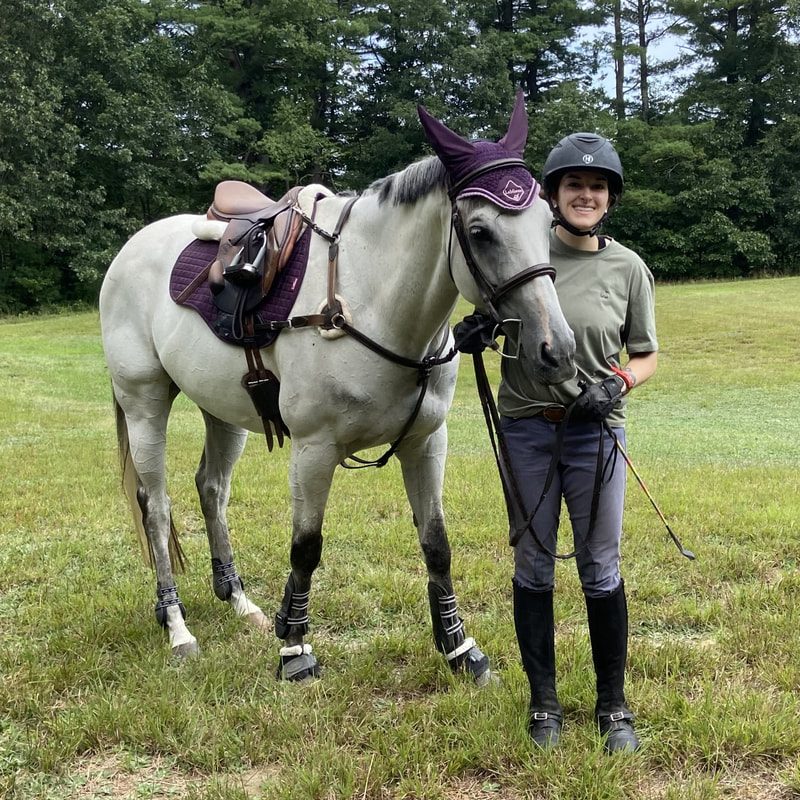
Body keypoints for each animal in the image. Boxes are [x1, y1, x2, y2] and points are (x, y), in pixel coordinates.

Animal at [98, 92, 576, 680]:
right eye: (481, 231)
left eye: (548, 221)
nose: (556, 351)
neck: (371, 301)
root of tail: (129, 251)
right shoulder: (314, 450)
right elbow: (306, 548)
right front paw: (295, 649)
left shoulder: (426, 443)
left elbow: (436, 543)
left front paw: (459, 647)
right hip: (144, 404)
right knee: (157, 505)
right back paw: (177, 625)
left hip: (222, 412)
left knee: (211, 489)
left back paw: (239, 600)